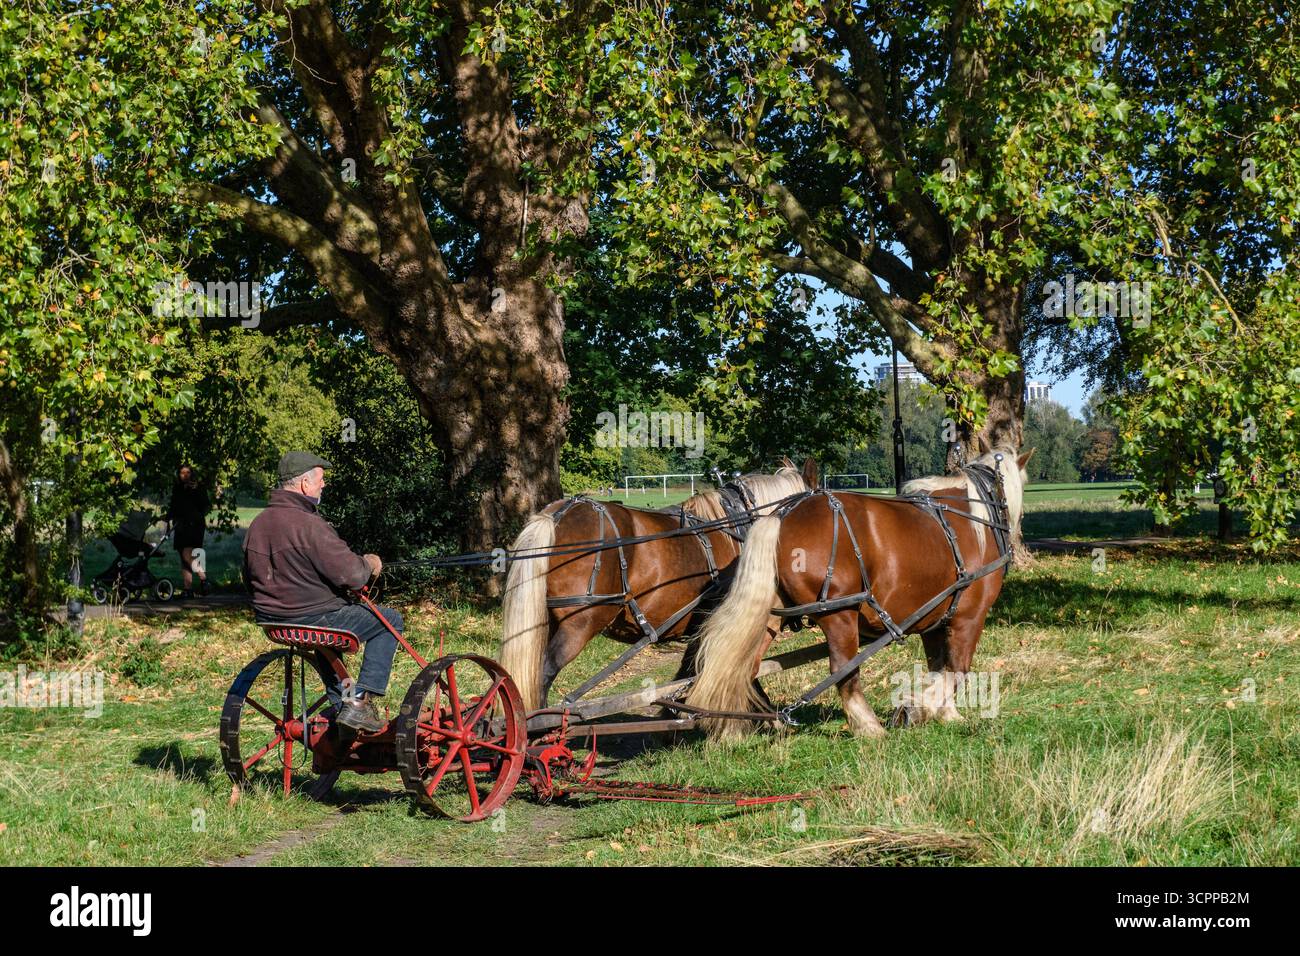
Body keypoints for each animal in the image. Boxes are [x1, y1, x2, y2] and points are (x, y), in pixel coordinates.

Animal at [683, 446, 1032, 739]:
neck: (973, 518)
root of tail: (780, 516)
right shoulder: (969, 616)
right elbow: (956, 669)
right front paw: (921, 708)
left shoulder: (933, 621)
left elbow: (938, 666)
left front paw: (943, 712)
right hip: (839, 614)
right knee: (843, 670)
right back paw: (868, 727)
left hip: (770, 615)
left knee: (742, 667)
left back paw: (733, 728)